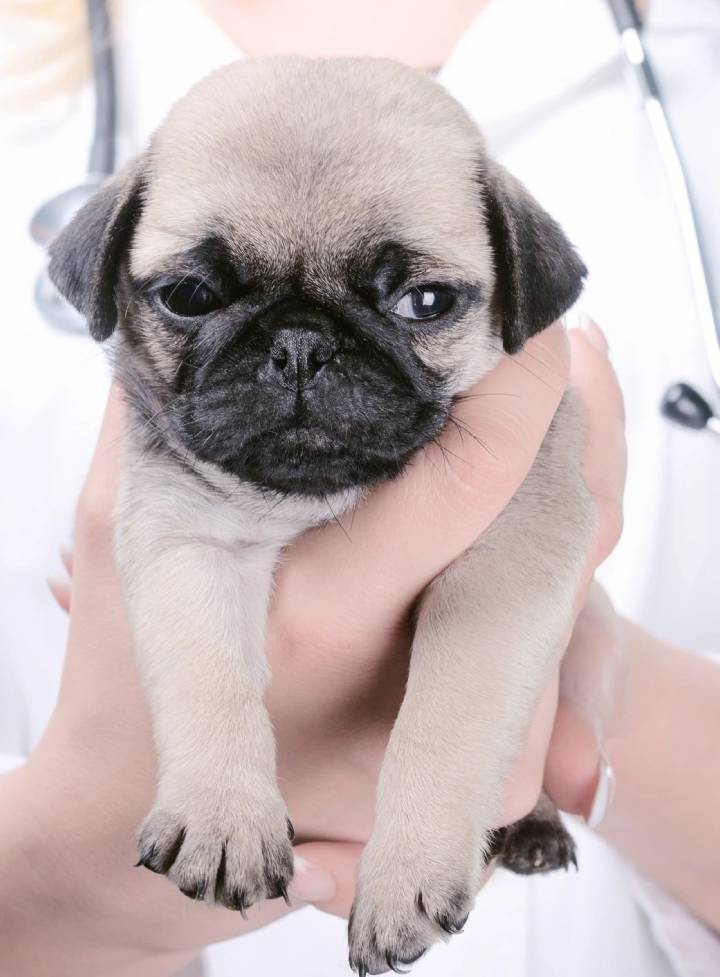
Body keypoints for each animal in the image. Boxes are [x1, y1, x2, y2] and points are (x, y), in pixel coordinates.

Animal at [49, 57, 592, 972]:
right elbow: (207, 673)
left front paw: (406, 868)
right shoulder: (184, 537)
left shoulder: (508, 565)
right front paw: (224, 815)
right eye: (189, 296)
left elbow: (447, 716)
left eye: (425, 302)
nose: (301, 342)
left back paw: (537, 823)